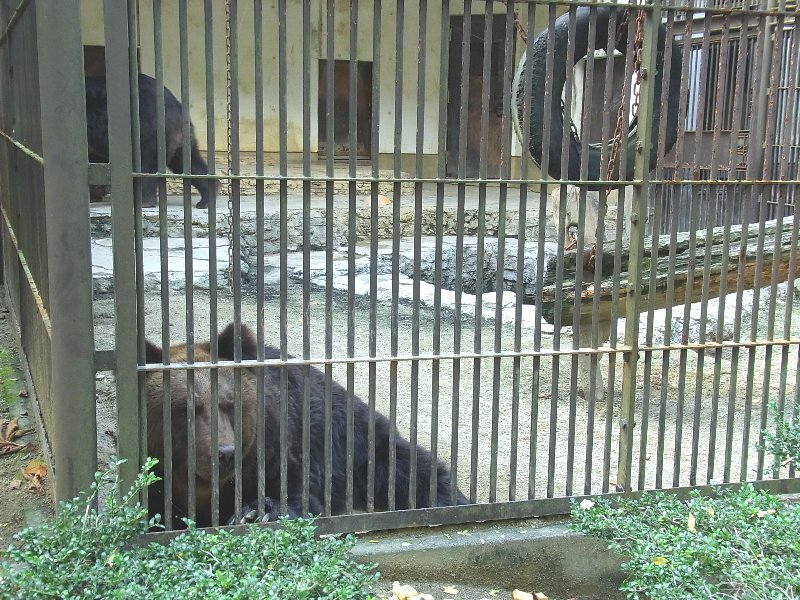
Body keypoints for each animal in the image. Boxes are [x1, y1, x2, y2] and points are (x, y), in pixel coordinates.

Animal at [86, 73, 216, 209]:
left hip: (151, 131)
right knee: (189, 163)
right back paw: (206, 199)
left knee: (147, 165)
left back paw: (144, 201)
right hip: (181, 139)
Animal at [144, 322, 468, 528]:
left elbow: (298, 488)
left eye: (230, 404)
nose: (225, 453)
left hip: (357, 440)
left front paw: (258, 511)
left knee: (408, 468)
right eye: (187, 409)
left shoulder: (280, 443)